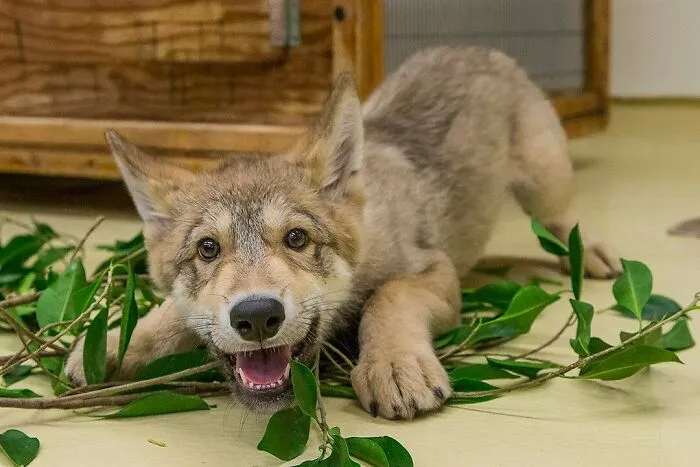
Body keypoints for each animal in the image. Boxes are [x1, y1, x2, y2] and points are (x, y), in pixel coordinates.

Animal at [66, 46, 622, 420]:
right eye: (207, 249)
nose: (258, 316)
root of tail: (477, 48)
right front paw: (111, 342)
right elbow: (170, 316)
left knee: (564, 220)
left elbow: (388, 299)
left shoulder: (433, 271)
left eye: (296, 239)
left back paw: (590, 253)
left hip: (546, 182)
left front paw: (394, 364)